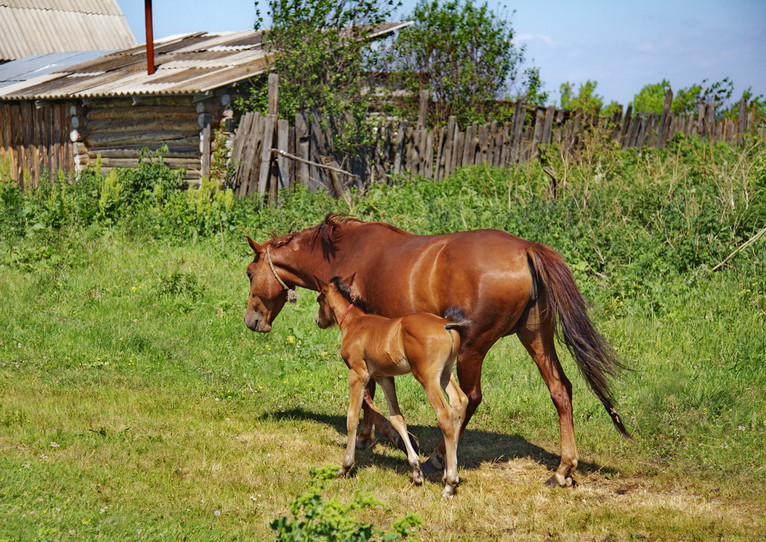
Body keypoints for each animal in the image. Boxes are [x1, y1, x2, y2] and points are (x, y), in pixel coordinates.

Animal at [314, 276, 472, 498]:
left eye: (319, 299)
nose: (318, 321)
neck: (355, 323)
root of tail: (445, 323)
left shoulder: (357, 375)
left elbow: (352, 417)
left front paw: (345, 466)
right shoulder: (385, 378)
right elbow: (397, 418)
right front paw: (416, 471)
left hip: (427, 377)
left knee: (445, 414)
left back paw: (450, 483)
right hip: (446, 372)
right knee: (460, 402)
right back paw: (447, 473)